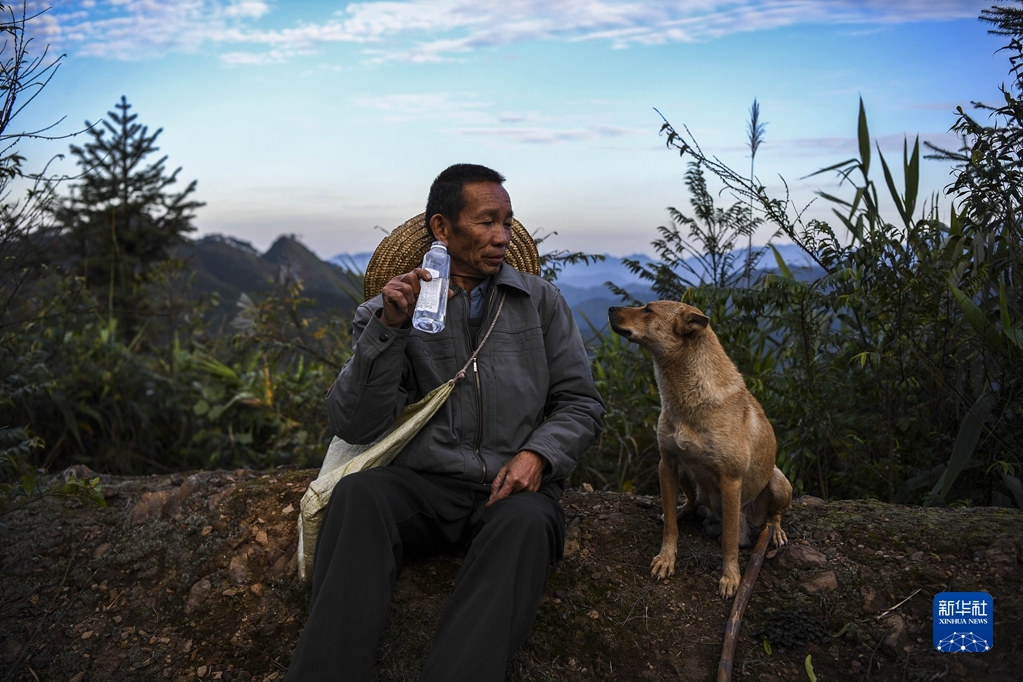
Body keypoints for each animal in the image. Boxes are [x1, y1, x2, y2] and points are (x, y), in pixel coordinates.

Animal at [608, 301, 792, 599]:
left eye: (648, 309)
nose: (610, 308)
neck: (688, 397)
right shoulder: (667, 463)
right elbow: (670, 525)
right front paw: (666, 558)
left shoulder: (731, 481)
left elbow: (729, 541)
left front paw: (731, 577)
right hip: (685, 473)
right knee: (692, 502)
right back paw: (684, 509)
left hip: (777, 481)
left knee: (775, 514)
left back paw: (774, 531)